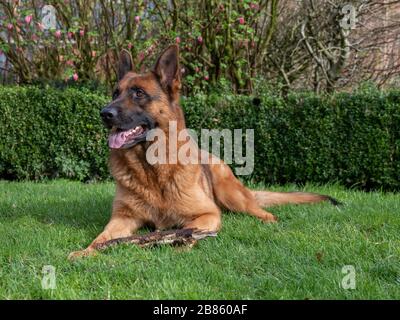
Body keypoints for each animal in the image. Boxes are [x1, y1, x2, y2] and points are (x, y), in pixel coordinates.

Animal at [69, 45, 338, 260]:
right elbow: (102, 237)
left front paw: (179, 246)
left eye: (139, 93)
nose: (104, 113)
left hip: (233, 197)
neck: (152, 169)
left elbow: (189, 232)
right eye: (116, 93)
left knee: (264, 212)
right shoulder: (123, 219)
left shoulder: (207, 214)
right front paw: (86, 251)